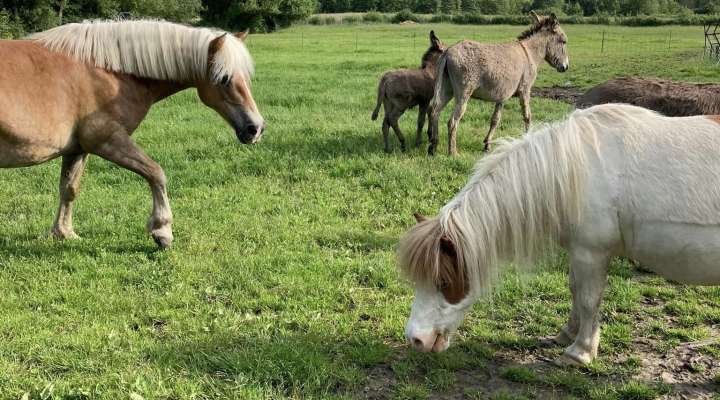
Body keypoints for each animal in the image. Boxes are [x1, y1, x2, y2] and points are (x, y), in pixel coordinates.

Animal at [0, 19, 265, 249]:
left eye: (247, 78)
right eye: (224, 78)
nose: (256, 128)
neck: (108, 71)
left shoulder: (78, 149)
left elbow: (69, 189)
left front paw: (63, 233)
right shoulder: (107, 140)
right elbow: (156, 173)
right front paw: (162, 231)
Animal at [398, 104, 720, 366]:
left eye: (443, 282)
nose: (416, 339)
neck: (575, 168)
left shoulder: (591, 253)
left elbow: (589, 299)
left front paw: (581, 352)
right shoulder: (578, 252)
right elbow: (575, 290)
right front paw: (567, 334)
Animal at [428, 12, 569, 156]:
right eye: (564, 41)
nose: (565, 67)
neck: (529, 53)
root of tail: (448, 51)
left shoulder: (502, 97)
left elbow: (495, 120)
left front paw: (487, 145)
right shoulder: (525, 90)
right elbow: (527, 116)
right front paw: (528, 139)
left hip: (447, 89)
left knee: (435, 111)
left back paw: (433, 147)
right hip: (463, 94)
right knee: (452, 121)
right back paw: (453, 152)